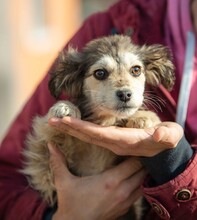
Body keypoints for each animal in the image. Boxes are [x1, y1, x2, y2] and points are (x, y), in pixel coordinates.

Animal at [21, 35, 174, 219]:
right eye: (100, 73)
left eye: (136, 70)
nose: (125, 94)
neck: (106, 120)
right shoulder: (42, 156)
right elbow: (50, 135)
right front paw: (65, 107)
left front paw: (143, 116)